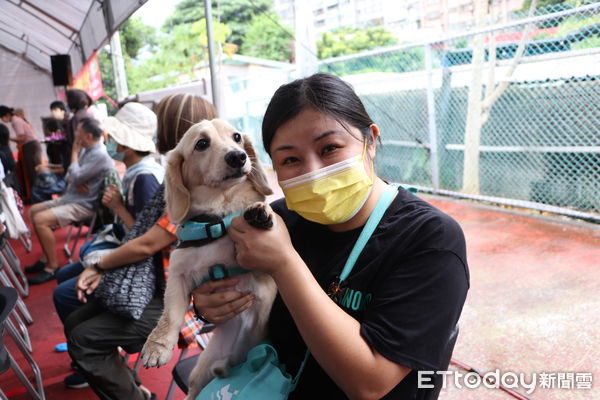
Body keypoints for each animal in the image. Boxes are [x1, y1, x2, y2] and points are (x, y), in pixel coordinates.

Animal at [142, 117, 278, 398]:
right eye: (202, 144)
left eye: (237, 137)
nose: (238, 157)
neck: (216, 220)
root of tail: (232, 360)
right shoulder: (178, 277)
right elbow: (171, 316)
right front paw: (157, 347)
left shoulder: (263, 278)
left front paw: (260, 212)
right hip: (199, 374)